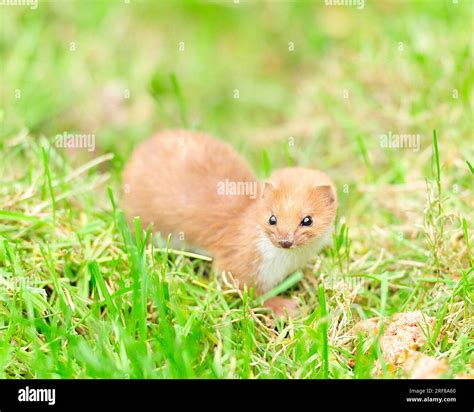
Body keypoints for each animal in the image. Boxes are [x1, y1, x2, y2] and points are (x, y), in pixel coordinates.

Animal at [122, 130, 336, 318]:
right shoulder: (240, 259)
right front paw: (284, 307)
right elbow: (246, 288)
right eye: (272, 218)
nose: (285, 241)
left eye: (307, 220)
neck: (286, 263)